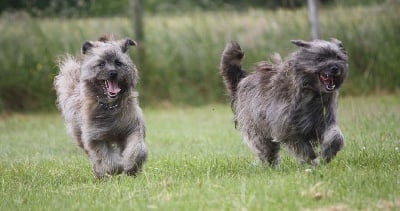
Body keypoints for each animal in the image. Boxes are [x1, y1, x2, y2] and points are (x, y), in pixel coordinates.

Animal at [53, 35, 147, 177]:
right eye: (101, 63)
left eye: (118, 63)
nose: (113, 72)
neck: (110, 106)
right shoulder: (95, 138)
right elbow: (106, 158)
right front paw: (115, 169)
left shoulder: (132, 129)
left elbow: (136, 149)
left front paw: (131, 166)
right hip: (79, 135)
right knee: (93, 158)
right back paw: (99, 173)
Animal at [220, 38, 348, 166]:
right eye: (320, 58)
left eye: (337, 57)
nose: (335, 68)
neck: (311, 93)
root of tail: (243, 80)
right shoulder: (287, 128)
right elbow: (302, 146)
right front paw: (312, 160)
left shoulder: (325, 119)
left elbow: (335, 135)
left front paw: (328, 152)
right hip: (257, 127)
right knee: (266, 148)